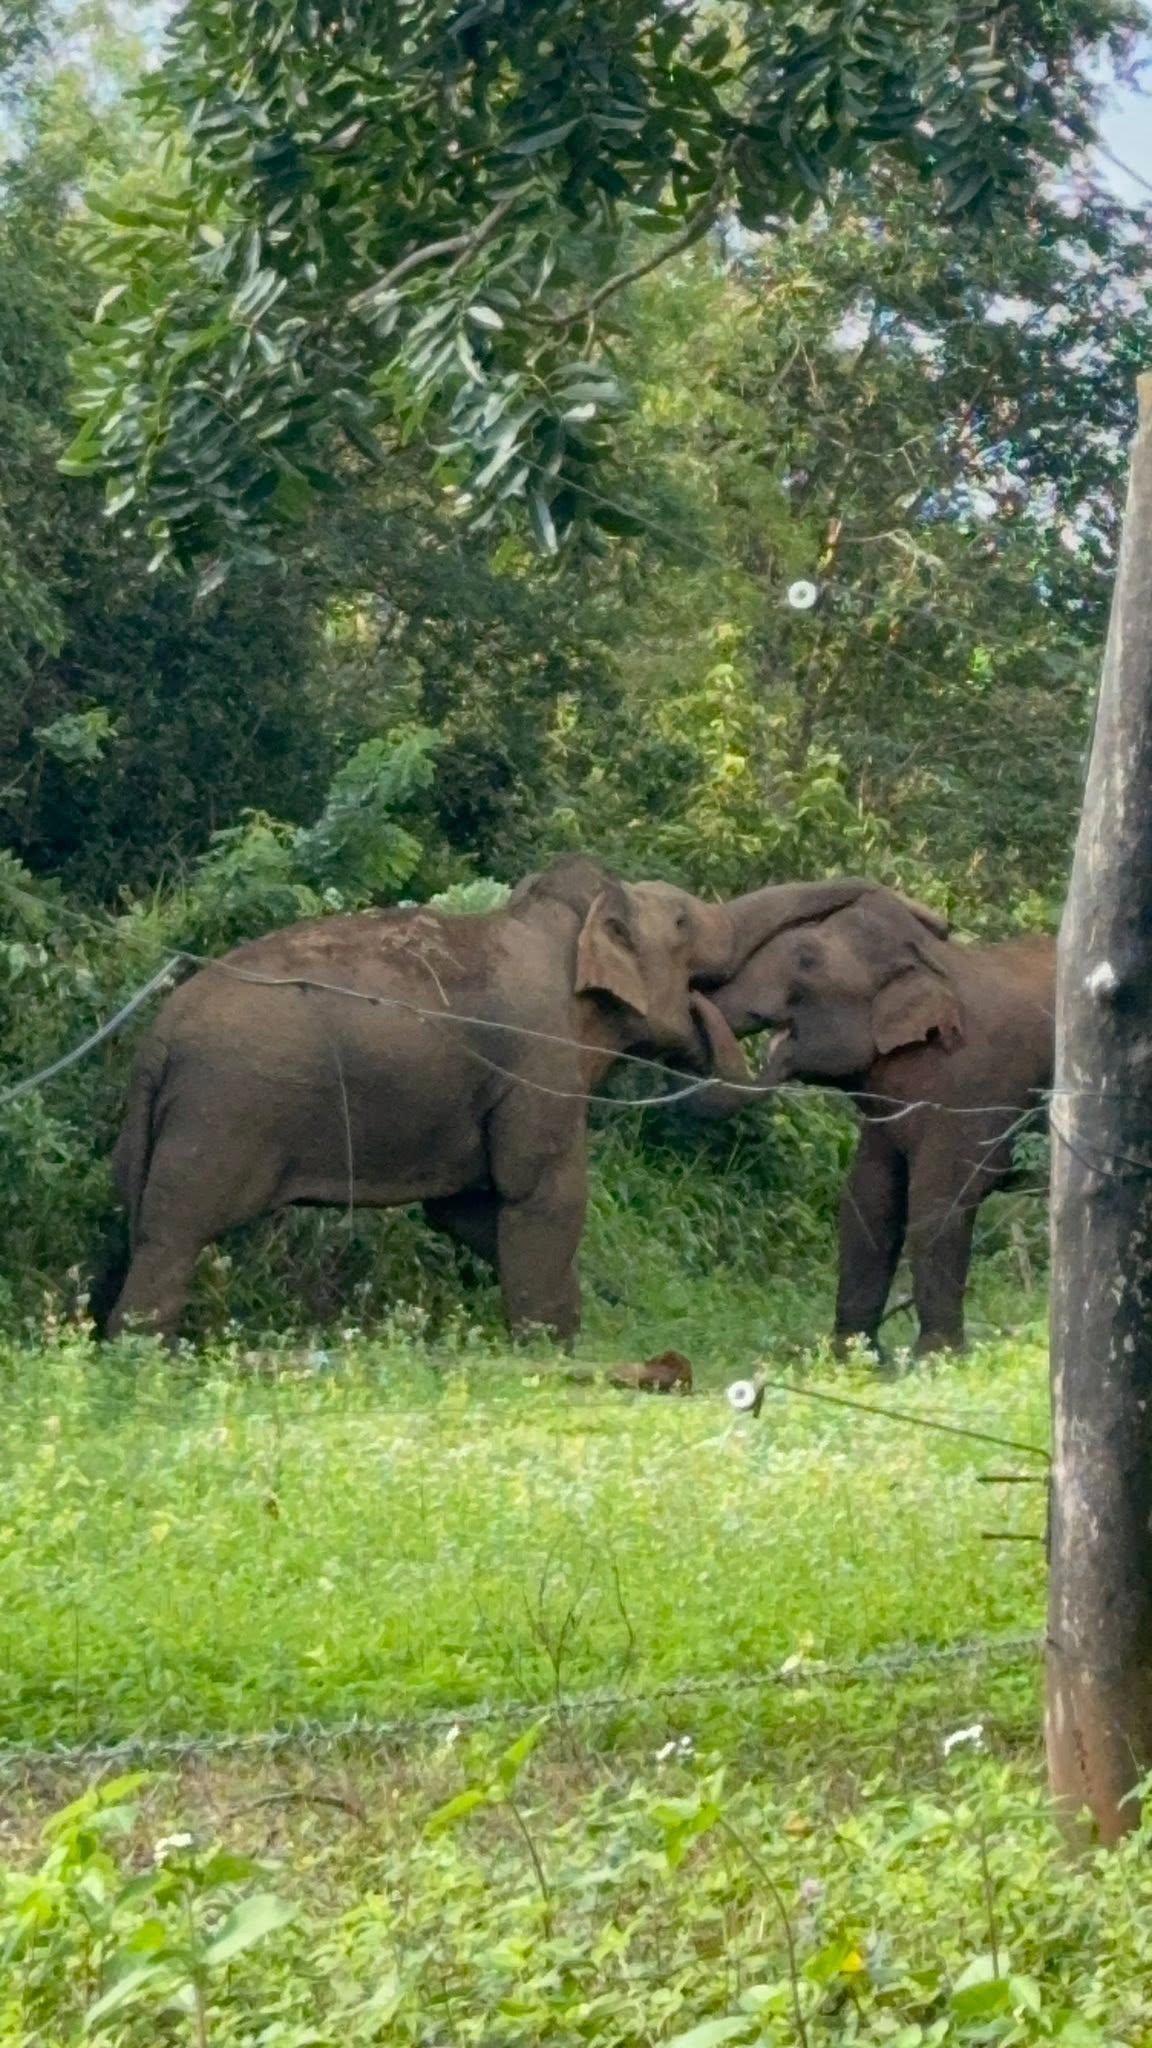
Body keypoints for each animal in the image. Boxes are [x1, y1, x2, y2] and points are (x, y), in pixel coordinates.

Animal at [100, 856, 894, 1343]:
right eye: (683, 924)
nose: (890, 898)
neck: (564, 927)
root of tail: (157, 1039)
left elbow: (466, 1211)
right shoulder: (538, 1058)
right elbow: (544, 1194)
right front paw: (556, 1350)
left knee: (138, 1226)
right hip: (223, 1113)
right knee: (173, 1235)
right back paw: (141, 1362)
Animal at [684, 889, 1054, 1356]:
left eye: (806, 959)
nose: (691, 995)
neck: (940, 963)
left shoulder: (973, 1090)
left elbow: (938, 1200)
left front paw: (935, 1356)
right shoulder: (885, 1114)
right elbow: (867, 1199)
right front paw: (851, 1355)